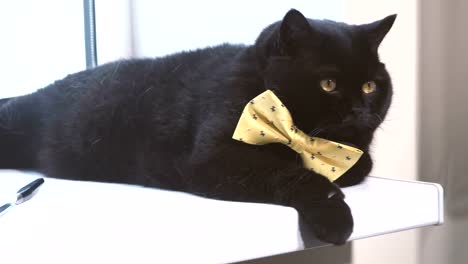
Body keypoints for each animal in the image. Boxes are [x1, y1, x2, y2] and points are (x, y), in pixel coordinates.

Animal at [0, 9, 394, 244]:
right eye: (328, 84)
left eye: (369, 86)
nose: (359, 110)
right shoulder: (215, 157)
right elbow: (293, 173)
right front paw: (334, 214)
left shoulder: (354, 155)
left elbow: (354, 164)